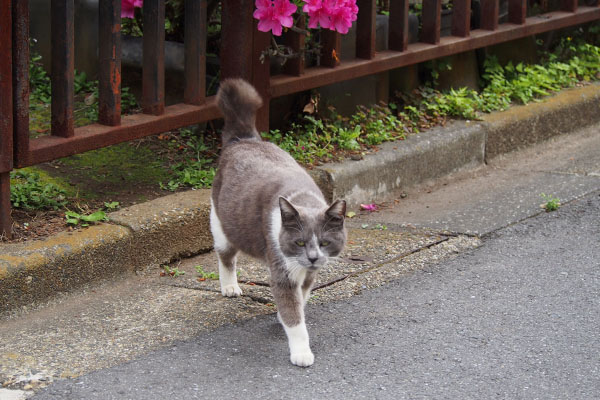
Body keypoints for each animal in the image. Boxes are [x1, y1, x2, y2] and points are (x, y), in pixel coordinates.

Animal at [211, 77, 346, 366]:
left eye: (325, 242)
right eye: (300, 242)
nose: (313, 257)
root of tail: (243, 139)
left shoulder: (308, 275)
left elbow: (300, 299)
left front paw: (284, 315)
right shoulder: (283, 271)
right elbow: (294, 316)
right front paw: (302, 352)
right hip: (221, 223)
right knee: (226, 256)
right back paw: (230, 287)